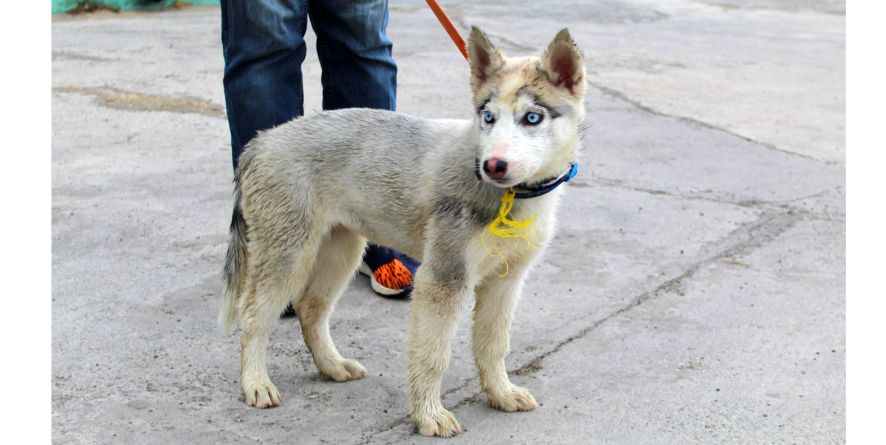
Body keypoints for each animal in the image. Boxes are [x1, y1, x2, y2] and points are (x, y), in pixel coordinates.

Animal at [219, 26, 588, 436]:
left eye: (532, 118)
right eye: (488, 117)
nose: (492, 166)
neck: (513, 196)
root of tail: (260, 141)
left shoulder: (505, 282)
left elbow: (493, 344)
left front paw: (500, 394)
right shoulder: (441, 279)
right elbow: (433, 354)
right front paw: (429, 415)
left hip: (340, 250)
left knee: (310, 308)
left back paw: (332, 366)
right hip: (288, 254)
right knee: (255, 315)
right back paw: (255, 383)